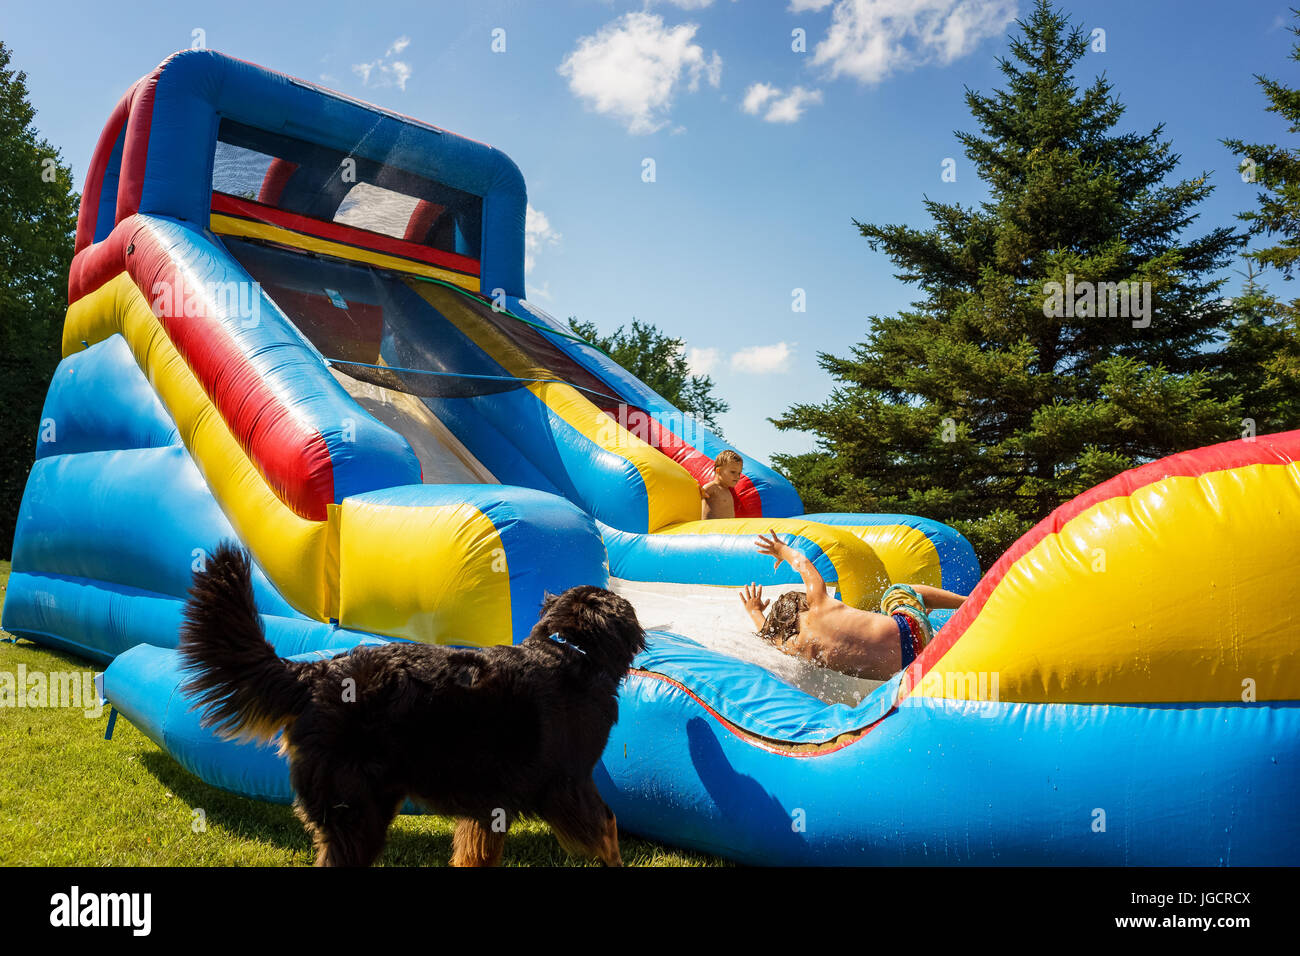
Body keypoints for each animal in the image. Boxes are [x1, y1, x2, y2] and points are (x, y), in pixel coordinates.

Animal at [180, 541, 647, 868]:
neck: (573, 651)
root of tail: (317, 672)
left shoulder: (489, 802)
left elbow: (475, 854)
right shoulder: (568, 784)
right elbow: (609, 829)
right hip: (358, 812)